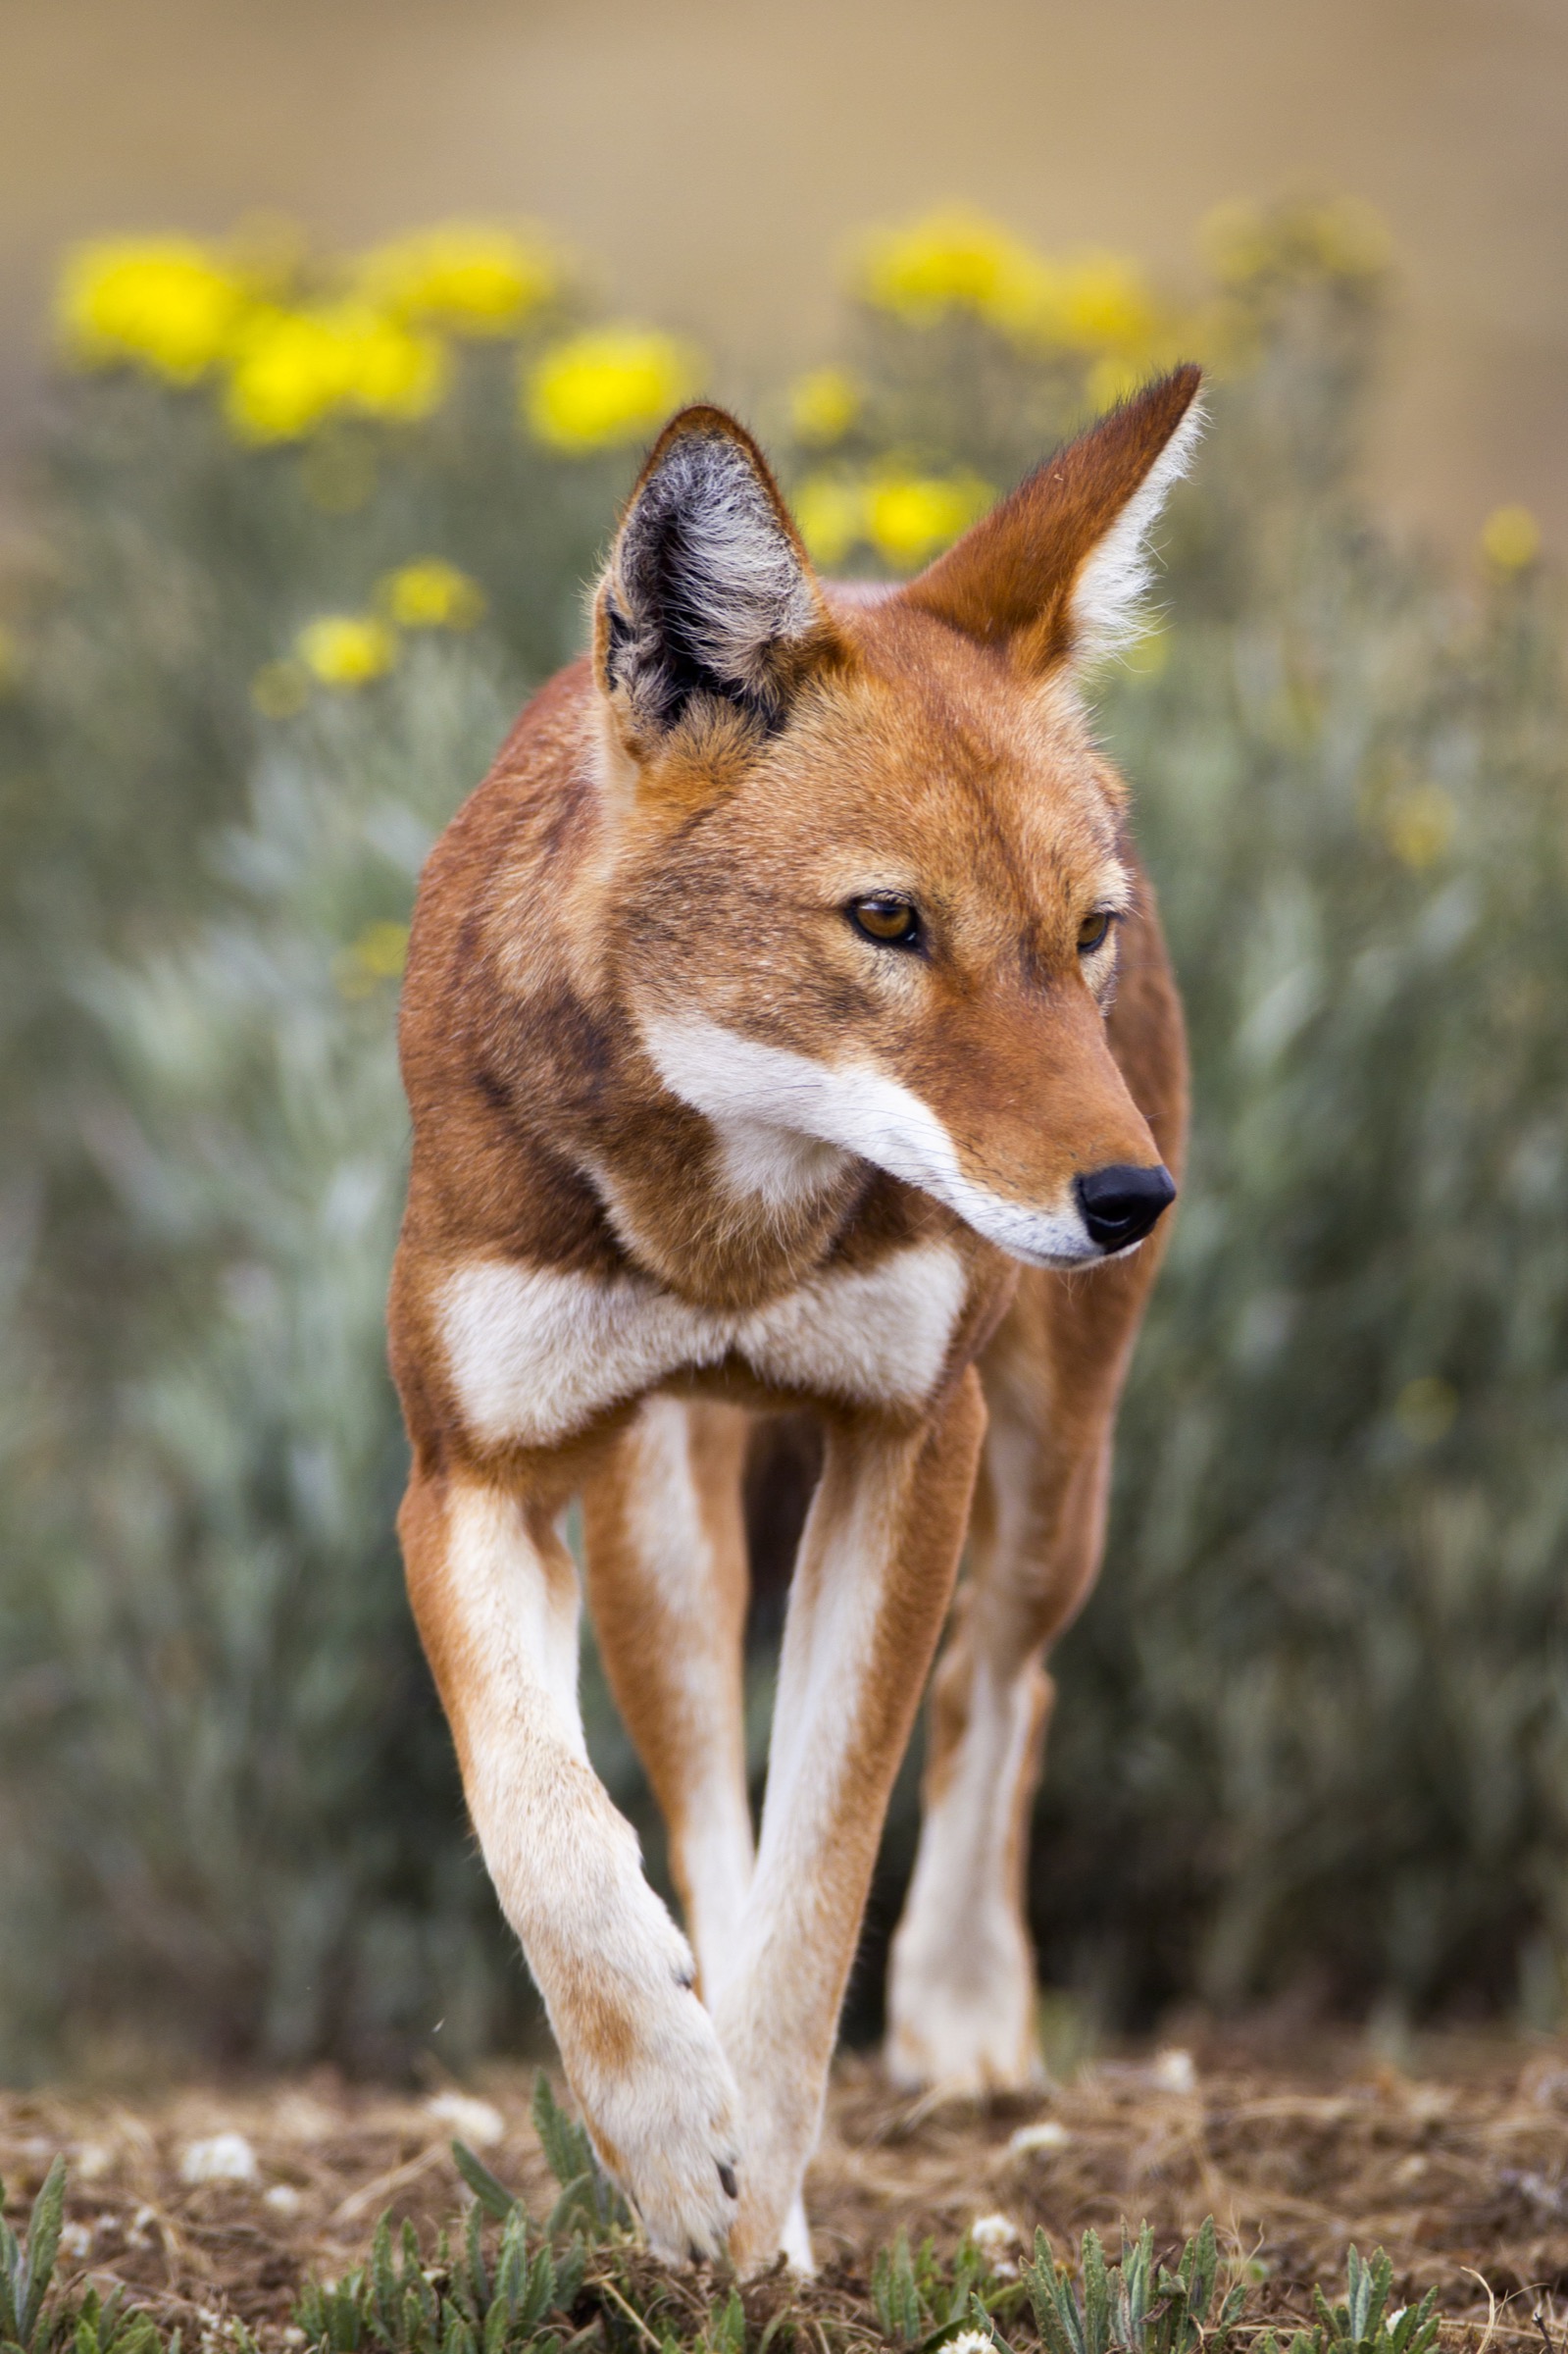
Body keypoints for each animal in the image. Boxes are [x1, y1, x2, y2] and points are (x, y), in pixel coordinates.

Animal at [388, 366, 1200, 2273]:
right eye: (887, 922)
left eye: (1082, 934)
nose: (1129, 1200)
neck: (724, 1245)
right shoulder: (468, 1476)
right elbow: (546, 1825)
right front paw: (673, 2138)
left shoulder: (911, 1441)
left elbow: (825, 1880)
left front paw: (755, 2199)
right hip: (657, 1523)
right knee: (699, 1806)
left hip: (1047, 1482)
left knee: (1004, 1692)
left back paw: (964, 2022)